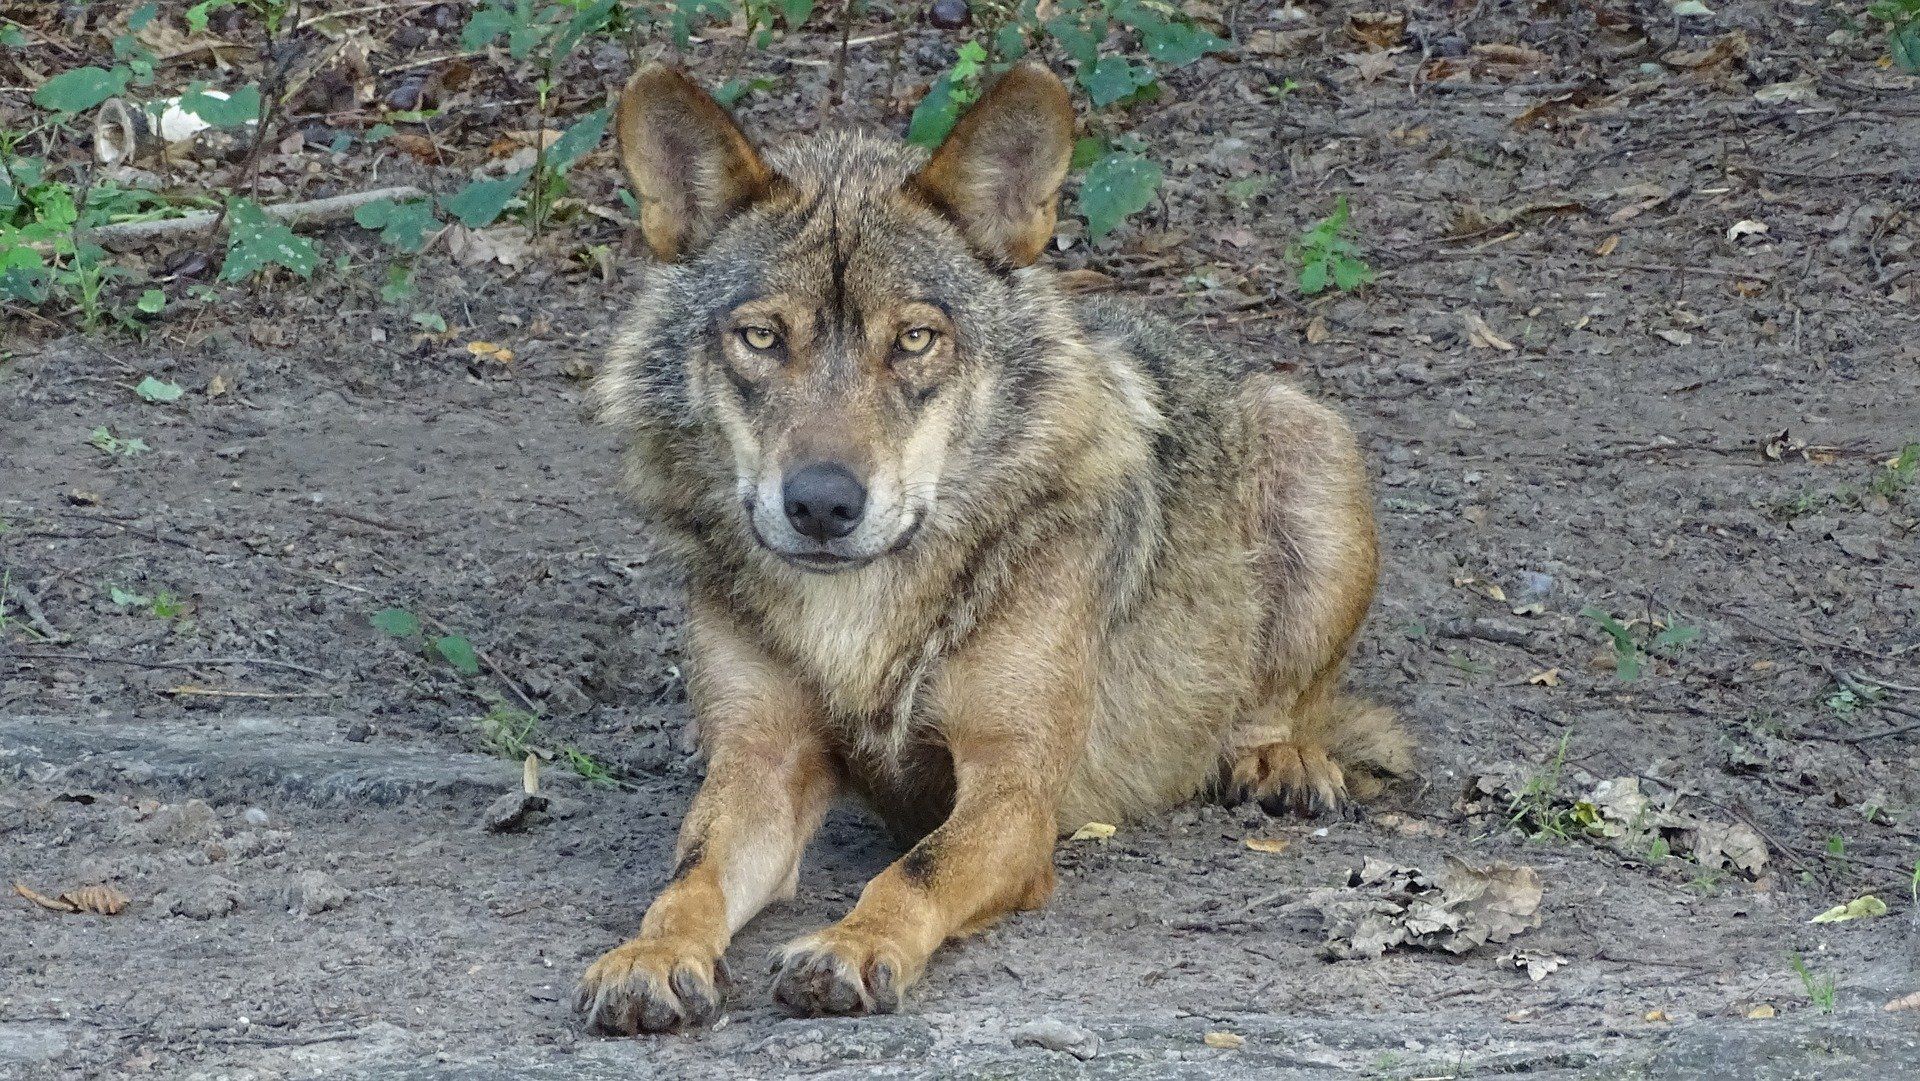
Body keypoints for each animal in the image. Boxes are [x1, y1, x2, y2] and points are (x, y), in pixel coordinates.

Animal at [572, 57, 1413, 1029]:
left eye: (914, 340)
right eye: (761, 337)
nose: (821, 503)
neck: (860, 614)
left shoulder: (1014, 787)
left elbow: (916, 870)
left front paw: (852, 945)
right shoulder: (759, 764)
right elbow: (690, 876)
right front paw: (651, 954)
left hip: (1311, 439)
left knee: (1285, 703)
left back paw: (1278, 758)